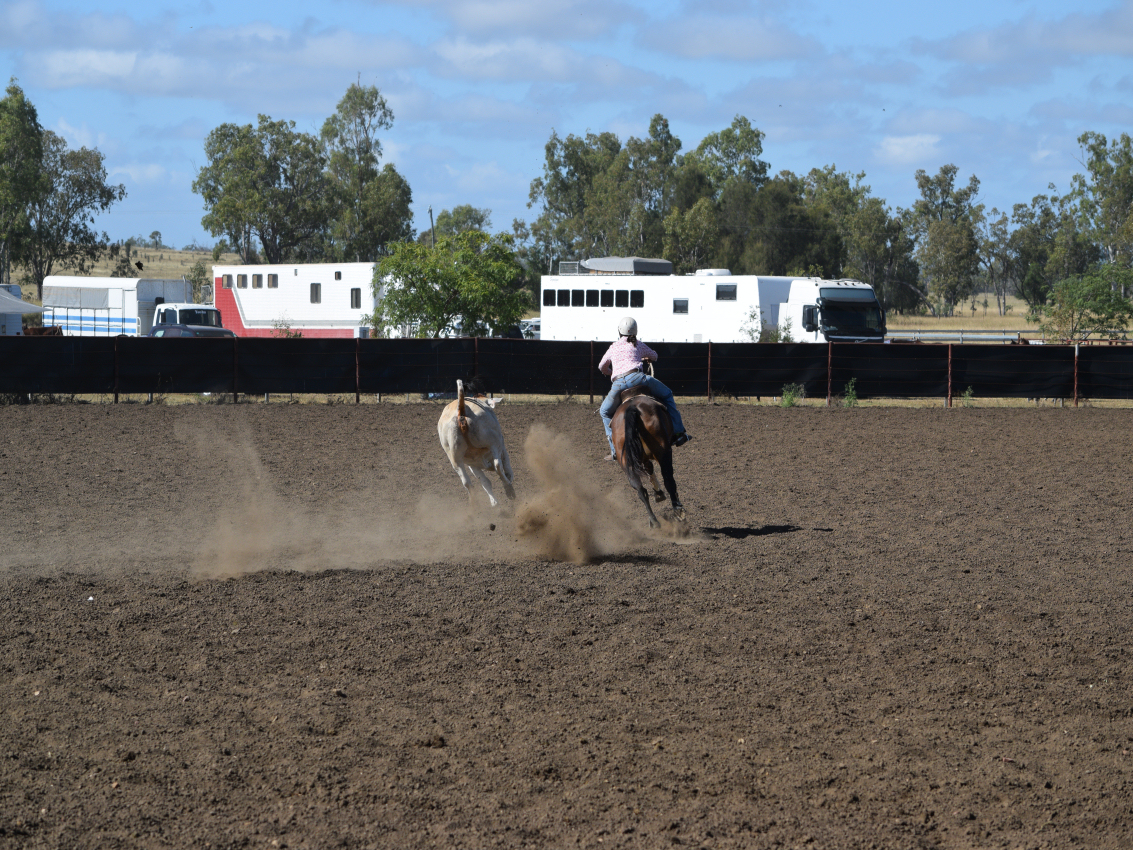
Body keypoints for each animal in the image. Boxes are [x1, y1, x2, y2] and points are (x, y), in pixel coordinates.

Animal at [610, 387, 685, 528]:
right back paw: (678, 511)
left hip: (626, 461)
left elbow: (649, 469)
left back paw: (654, 521)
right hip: (663, 452)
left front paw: (659, 494)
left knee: (640, 490)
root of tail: (632, 407)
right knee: (669, 479)